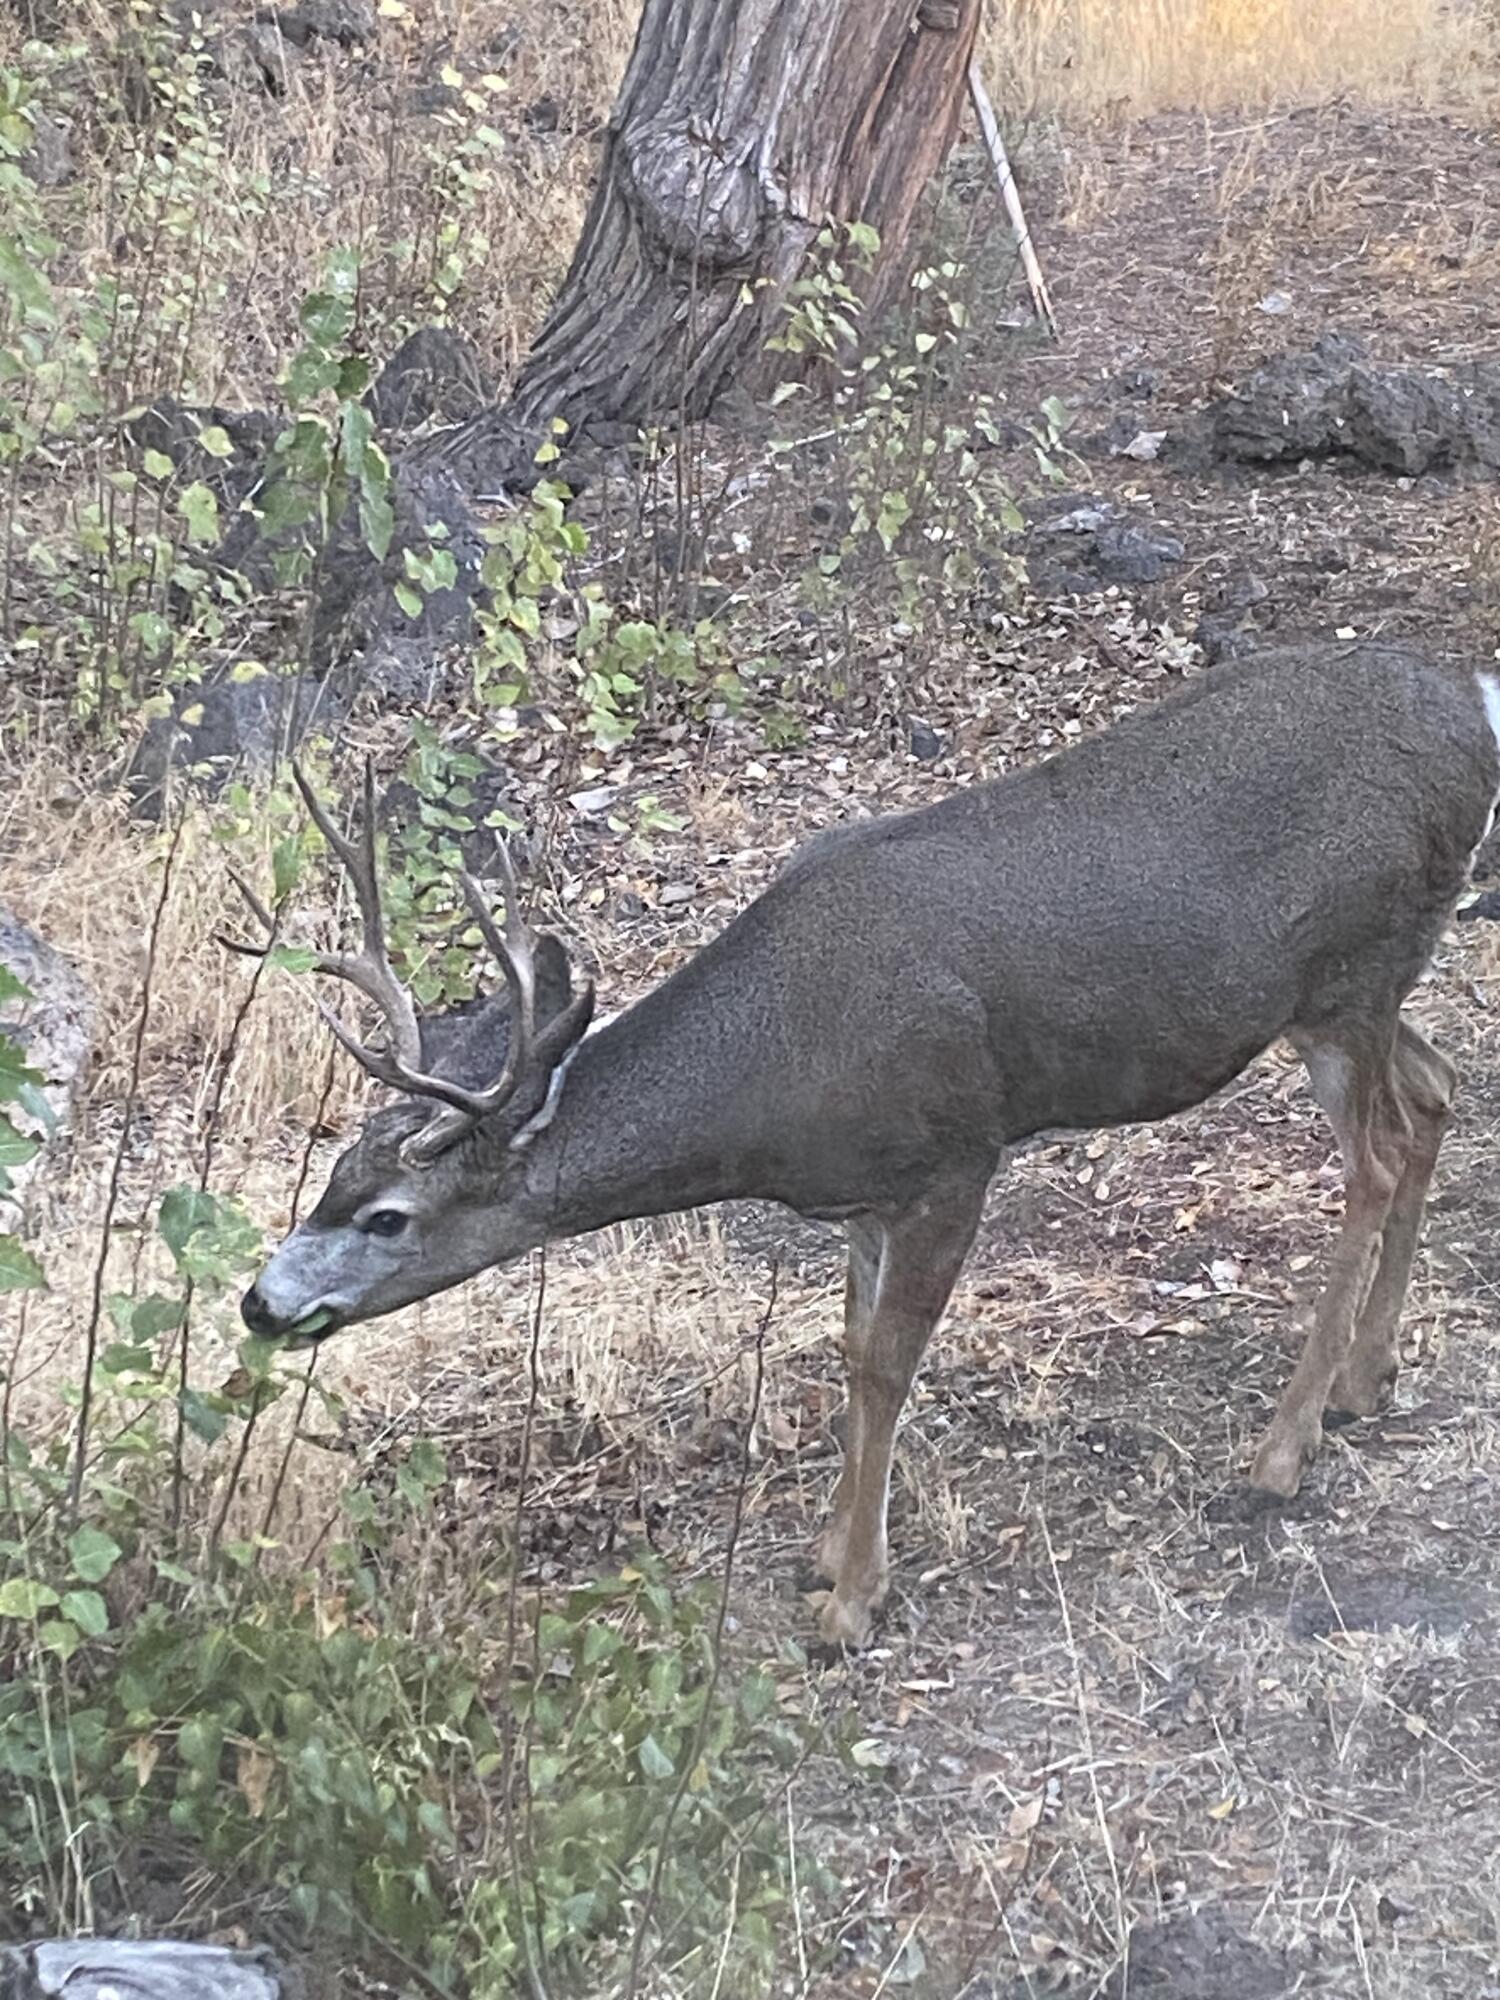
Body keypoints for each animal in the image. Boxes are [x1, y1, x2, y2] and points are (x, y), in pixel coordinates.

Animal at [235, 641, 1500, 1647]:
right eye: (331, 1171)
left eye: (389, 1215)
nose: (258, 1301)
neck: (782, 1074)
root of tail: (1469, 702)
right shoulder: (865, 1198)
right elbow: (849, 1350)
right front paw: (827, 1554)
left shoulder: (954, 1152)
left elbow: (888, 1364)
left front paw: (852, 1604)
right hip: (1353, 993)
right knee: (1436, 1091)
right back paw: (1365, 1380)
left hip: (1350, 973)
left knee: (1376, 1156)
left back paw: (1284, 1447)